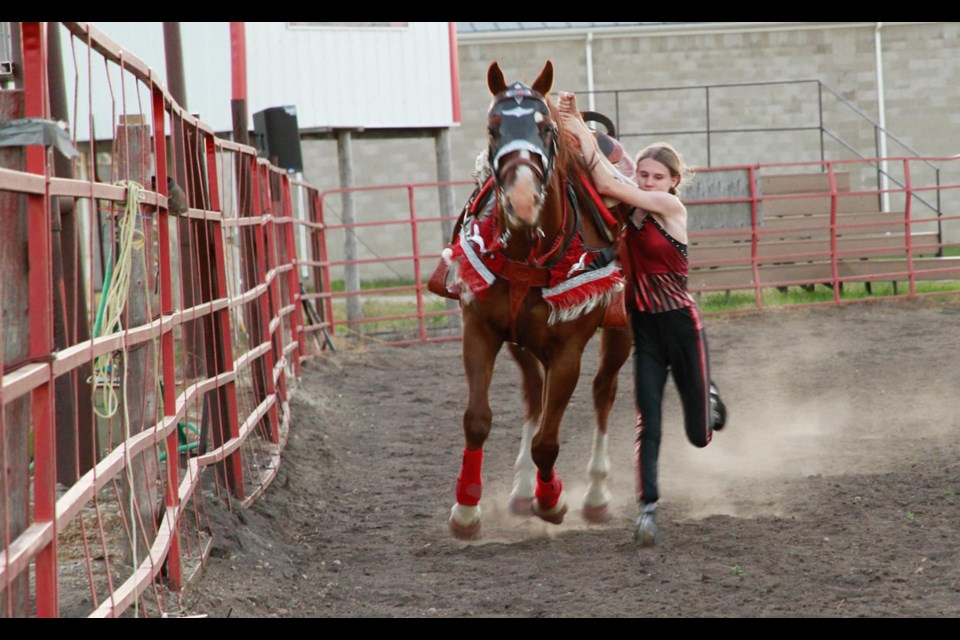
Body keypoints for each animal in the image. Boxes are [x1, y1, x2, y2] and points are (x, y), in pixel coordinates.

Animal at [438, 61, 632, 540]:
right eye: (493, 129)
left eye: (546, 129)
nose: (523, 200)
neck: (528, 250)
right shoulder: (481, 331)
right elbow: (477, 419)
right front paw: (466, 510)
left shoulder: (568, 351)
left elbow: (548, 441)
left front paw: (553, 499)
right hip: (521, 341)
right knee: (533, 394)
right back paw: (524, 491)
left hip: (621, 331)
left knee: (604, 391)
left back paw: (595, 496)